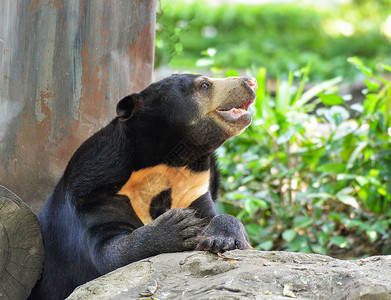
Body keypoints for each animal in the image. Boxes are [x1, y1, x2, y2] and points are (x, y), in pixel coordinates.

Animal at [29, 73, 258, 300]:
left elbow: (215, 218)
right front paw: (176, 227)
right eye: (204, 85)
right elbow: (109, 253)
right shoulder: (94, 194)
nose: (250, 81)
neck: (169, 162)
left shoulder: (193, 188)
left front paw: (220, 238)